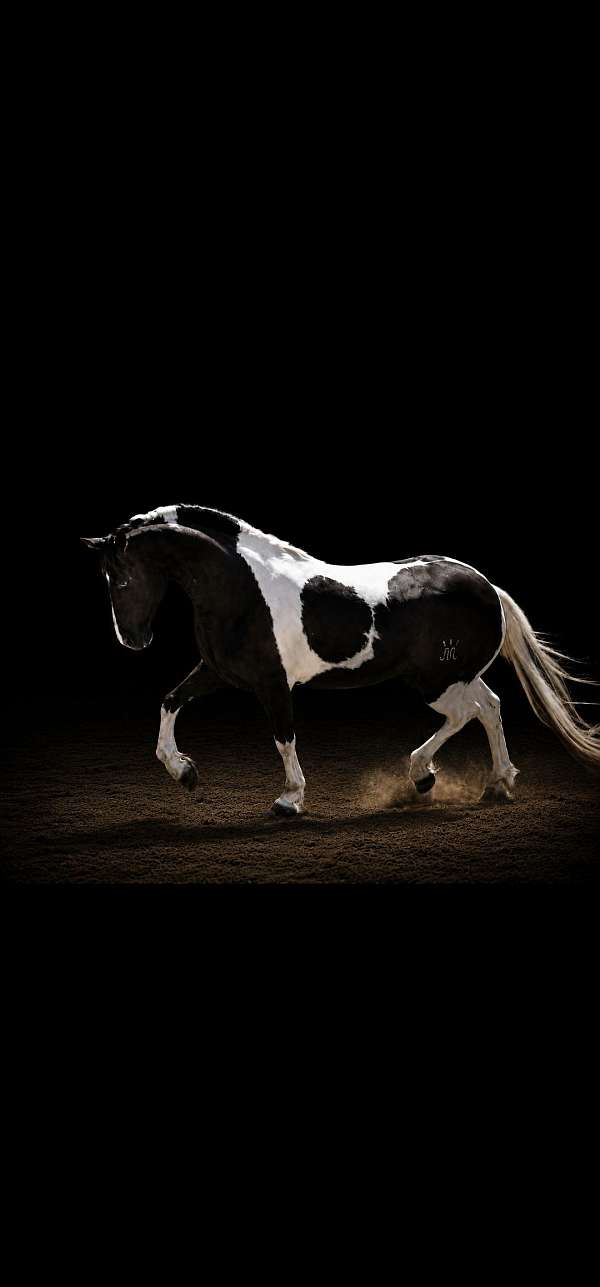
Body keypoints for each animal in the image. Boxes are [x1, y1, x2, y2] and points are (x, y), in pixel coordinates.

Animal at [82, 505, 599, 816]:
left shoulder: (273, 683)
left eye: (121, 579)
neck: (240, 590)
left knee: (469, 713)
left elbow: (283, 737)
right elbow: (170, 701)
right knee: (489, 707)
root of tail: (485, 584)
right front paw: (184, 772)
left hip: (437, 681)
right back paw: (493, 783)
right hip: (455, 675)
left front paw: (289, 799)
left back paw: (426, 774)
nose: (133, 641)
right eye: (106, 578)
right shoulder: (218, 672)